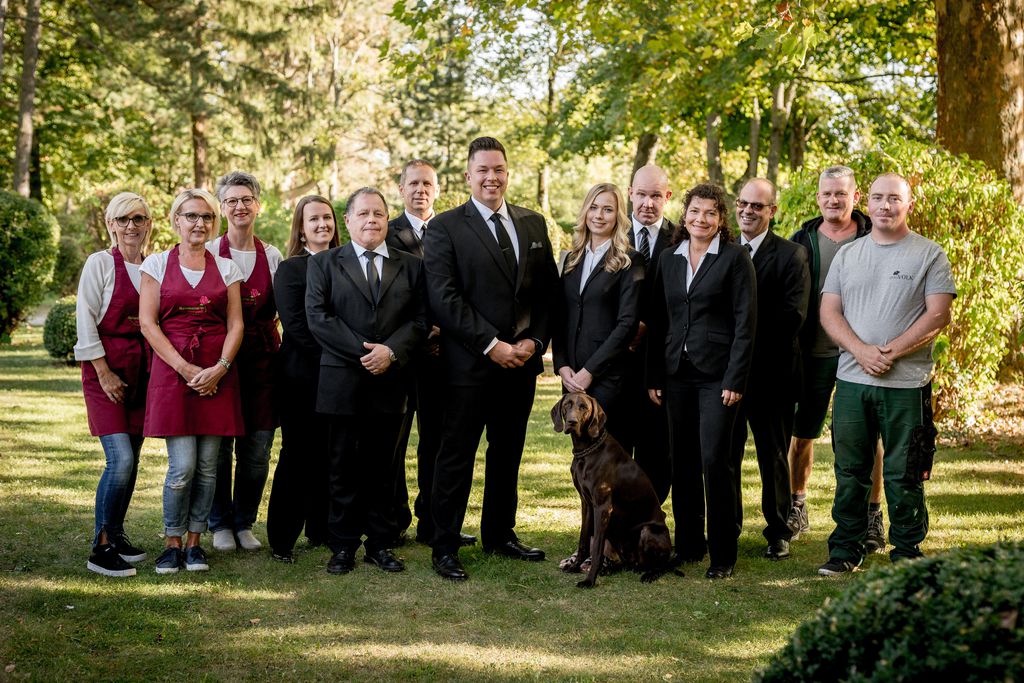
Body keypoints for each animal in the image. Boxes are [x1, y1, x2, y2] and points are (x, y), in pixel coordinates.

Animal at [552, 389, 671, 589]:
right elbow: (584, 541)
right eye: (567, 404)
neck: (587, 450)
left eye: (583, 407)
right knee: (630, 564)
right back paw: (613, 569)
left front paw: (589, 580)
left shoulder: (602, 507)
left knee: (661, 565)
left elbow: (597, 547)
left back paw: (650, 574)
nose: (572, 422)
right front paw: (575, 566)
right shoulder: (587, 504)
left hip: (648, 531)